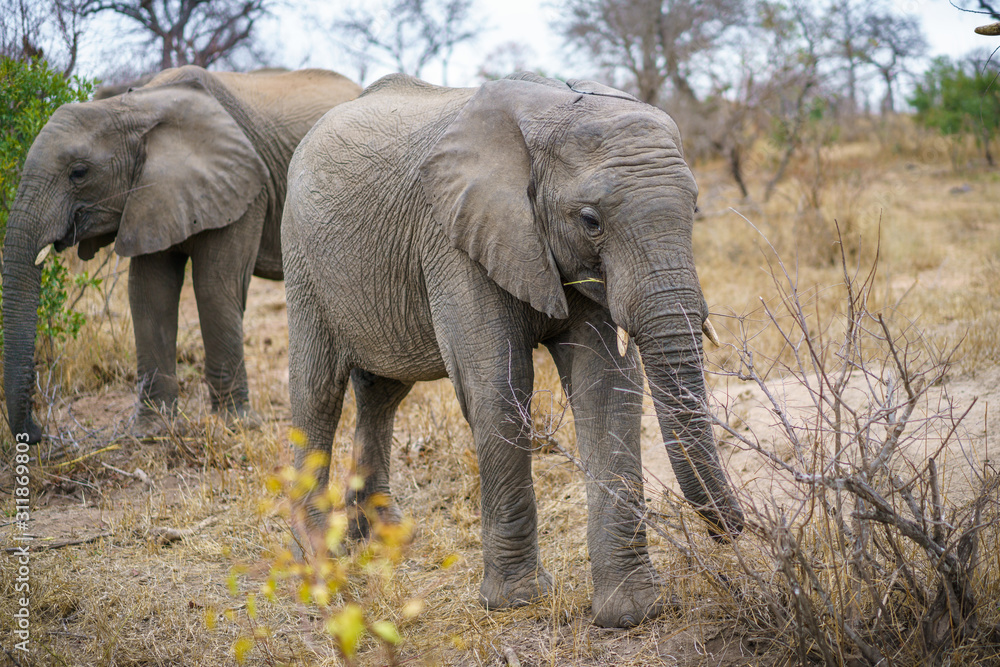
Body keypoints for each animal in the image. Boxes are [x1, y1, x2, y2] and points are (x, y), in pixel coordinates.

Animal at [3, 65, 362, 443]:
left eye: (79, 172)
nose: (36, 434)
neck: (136, 106)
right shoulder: (149, 196)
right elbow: (149, 293)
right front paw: (152, 430)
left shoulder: (247, 189)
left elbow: (214, 288)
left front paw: (235, 425)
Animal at [281, 72, 745, 628]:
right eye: (590, 221)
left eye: (694, 209)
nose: (736, 531)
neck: (551, 112)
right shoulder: (454, 239)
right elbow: (499, 391)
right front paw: (517, 601)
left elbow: (607, 389)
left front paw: (634, 612)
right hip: (302, 257)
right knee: (318, 391)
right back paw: (316, 554)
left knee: (381, 392)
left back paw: (384, 538)